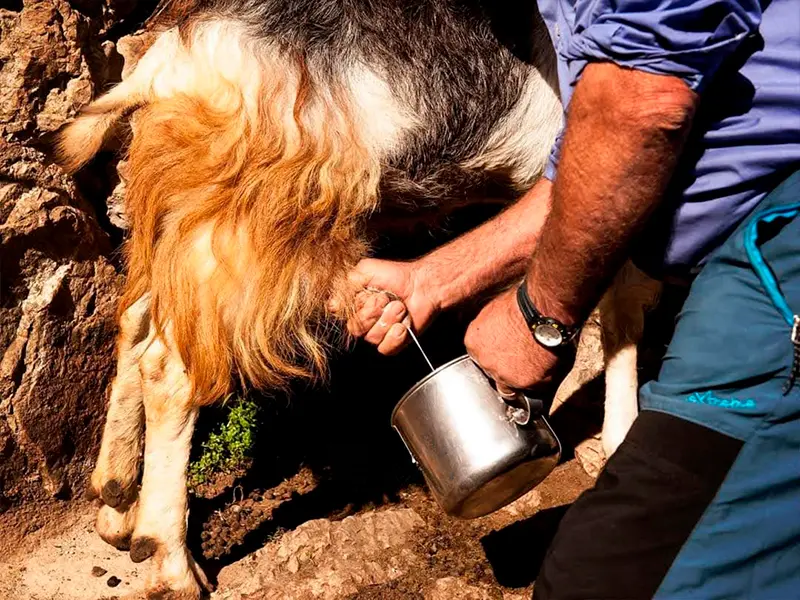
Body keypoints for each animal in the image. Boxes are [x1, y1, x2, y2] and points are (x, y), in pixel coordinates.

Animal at [57, 1, 659, 597]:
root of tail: (166, 70)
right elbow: (620, 315)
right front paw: (619, 434)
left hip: (178, 225)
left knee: (136, 323)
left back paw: (115, 507)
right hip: (242, 238)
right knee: (169, 369)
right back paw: (170, 562)